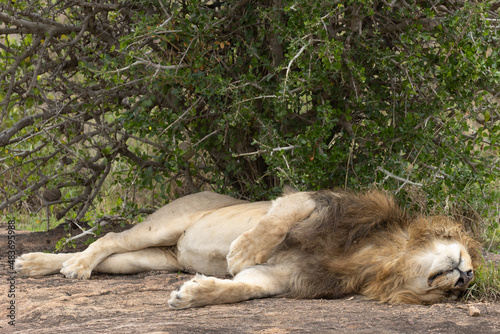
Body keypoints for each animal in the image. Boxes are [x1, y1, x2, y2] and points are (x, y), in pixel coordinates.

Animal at [13, 189, 478, 310]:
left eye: (454, 295)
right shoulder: (318, 200)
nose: (467, 277)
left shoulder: (283, 279)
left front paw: (195, 295)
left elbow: (243, 287)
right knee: (109, 239)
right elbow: (275, 222)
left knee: (111, 256)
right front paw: (238, 253)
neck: (382, 258)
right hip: (167, 222)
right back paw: (72, 267)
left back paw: (36, 264)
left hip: (148, 259)